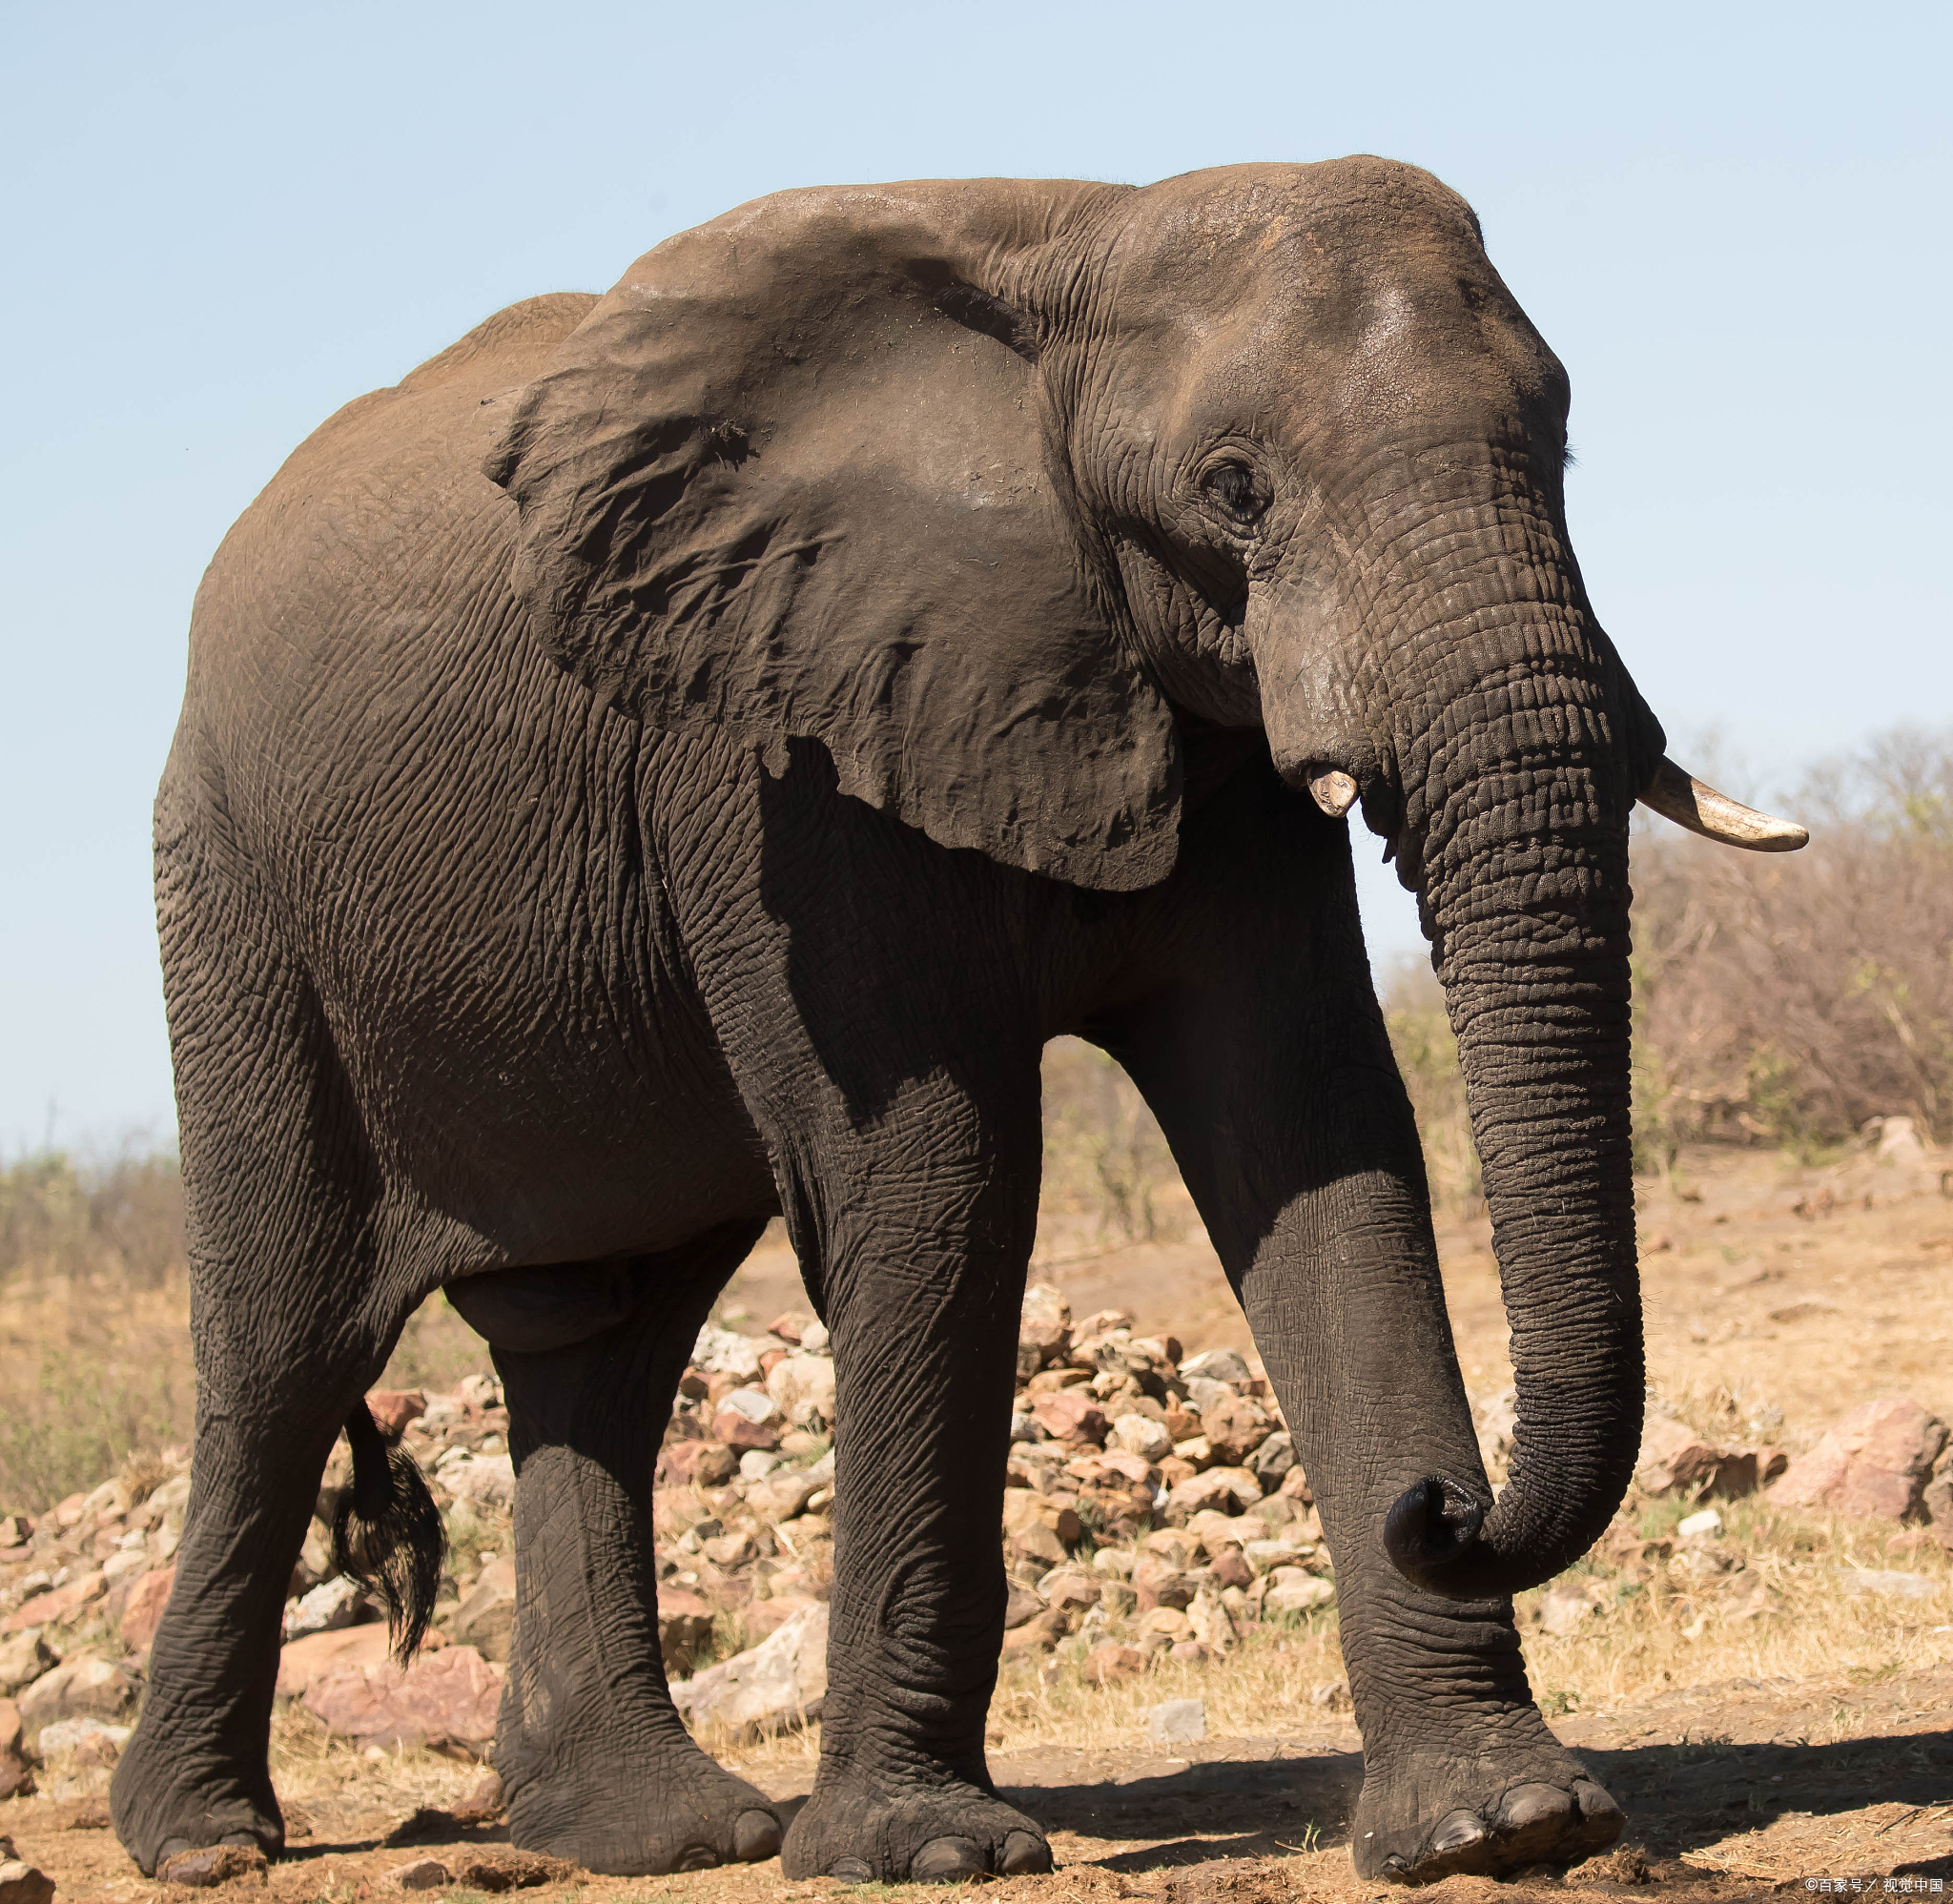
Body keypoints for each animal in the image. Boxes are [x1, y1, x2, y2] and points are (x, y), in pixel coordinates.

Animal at [113, 155, 1804, 1882]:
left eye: (1560, 446)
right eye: (1234, 488)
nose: (1443, 1512)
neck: (1082, 241)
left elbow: (1319, 1137)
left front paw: (1503, 1825)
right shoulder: (768, 741)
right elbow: (938, 1174)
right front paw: (923, 1853)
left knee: (602, 1343)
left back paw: (659, 1830)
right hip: (232, 891)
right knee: (285, 1345)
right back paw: (203, 1842)